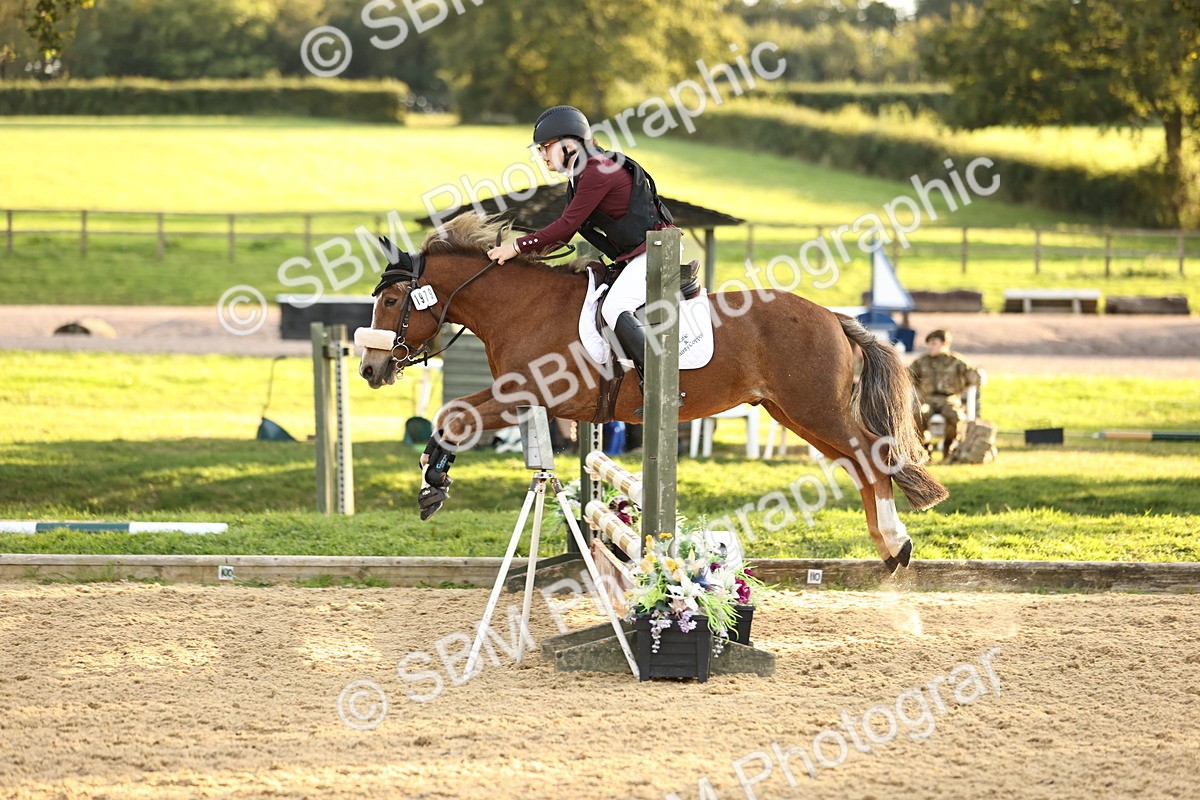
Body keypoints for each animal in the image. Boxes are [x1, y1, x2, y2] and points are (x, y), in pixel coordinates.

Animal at [357, 214, 948, 572]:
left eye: (391, 300)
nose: (369, 369)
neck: (520, 306)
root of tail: (834, 318)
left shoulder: (527, 394)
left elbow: (455, 416)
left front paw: (433, 486)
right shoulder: (516, 393)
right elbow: (450, 413)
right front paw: (432, 480)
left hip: (815, 409)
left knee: (871, 457)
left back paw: (896, 545)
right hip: (794, 413)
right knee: (859, 464)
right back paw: (888, 547)